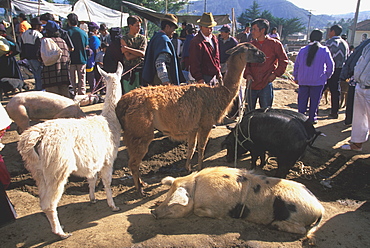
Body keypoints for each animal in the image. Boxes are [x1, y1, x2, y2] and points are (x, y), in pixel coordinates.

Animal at [151, 167, 324, 242]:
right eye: (167, 195)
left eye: (174, 203)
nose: (153, 212)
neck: (196, 188)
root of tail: (320, 208)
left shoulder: (216, 208)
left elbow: (202, 212)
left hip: (296, 214)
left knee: (302, 230)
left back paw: (275, 226)